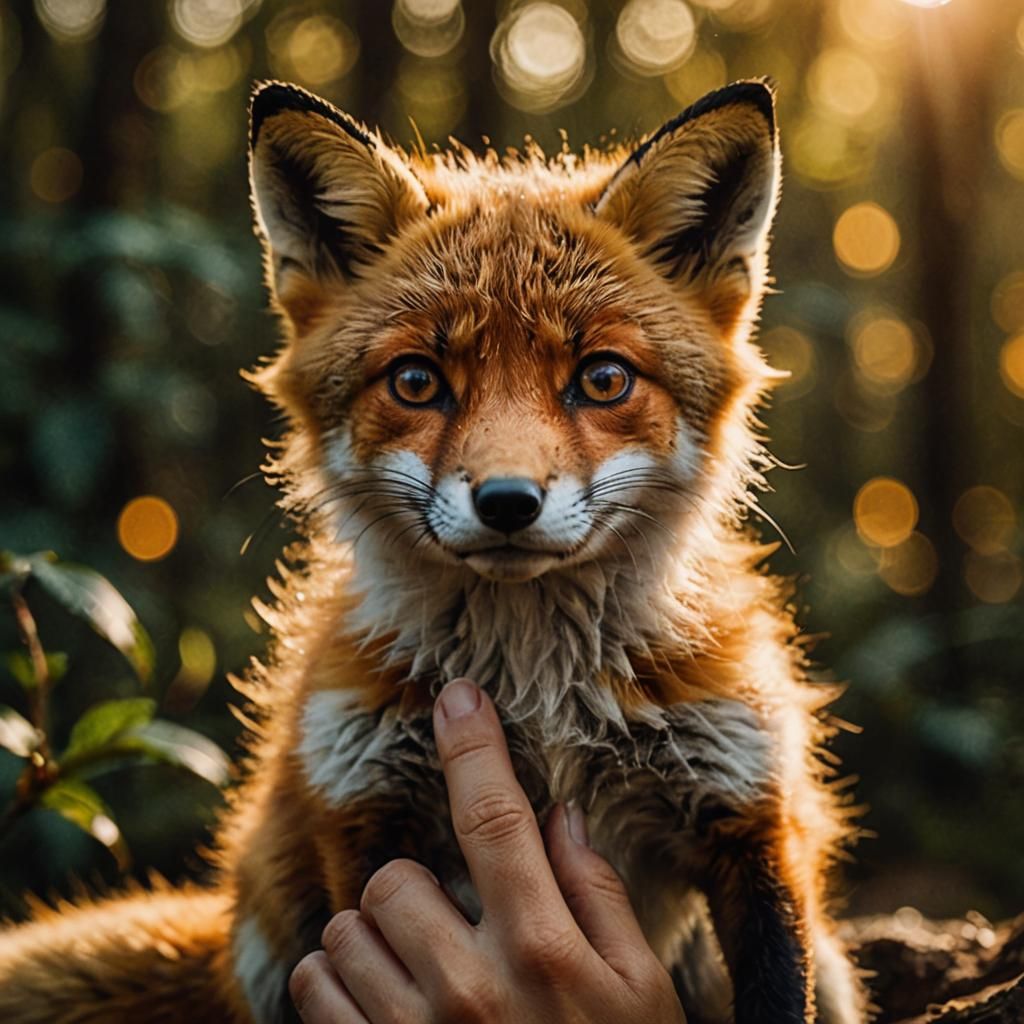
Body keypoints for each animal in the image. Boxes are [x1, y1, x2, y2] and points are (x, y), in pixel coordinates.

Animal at [0, 79, 866, 1023]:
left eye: (603, 379)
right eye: (417, 381)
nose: (508, 501)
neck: (542, 701)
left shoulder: (749, 816)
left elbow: (779, 988)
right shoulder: (367, 818)